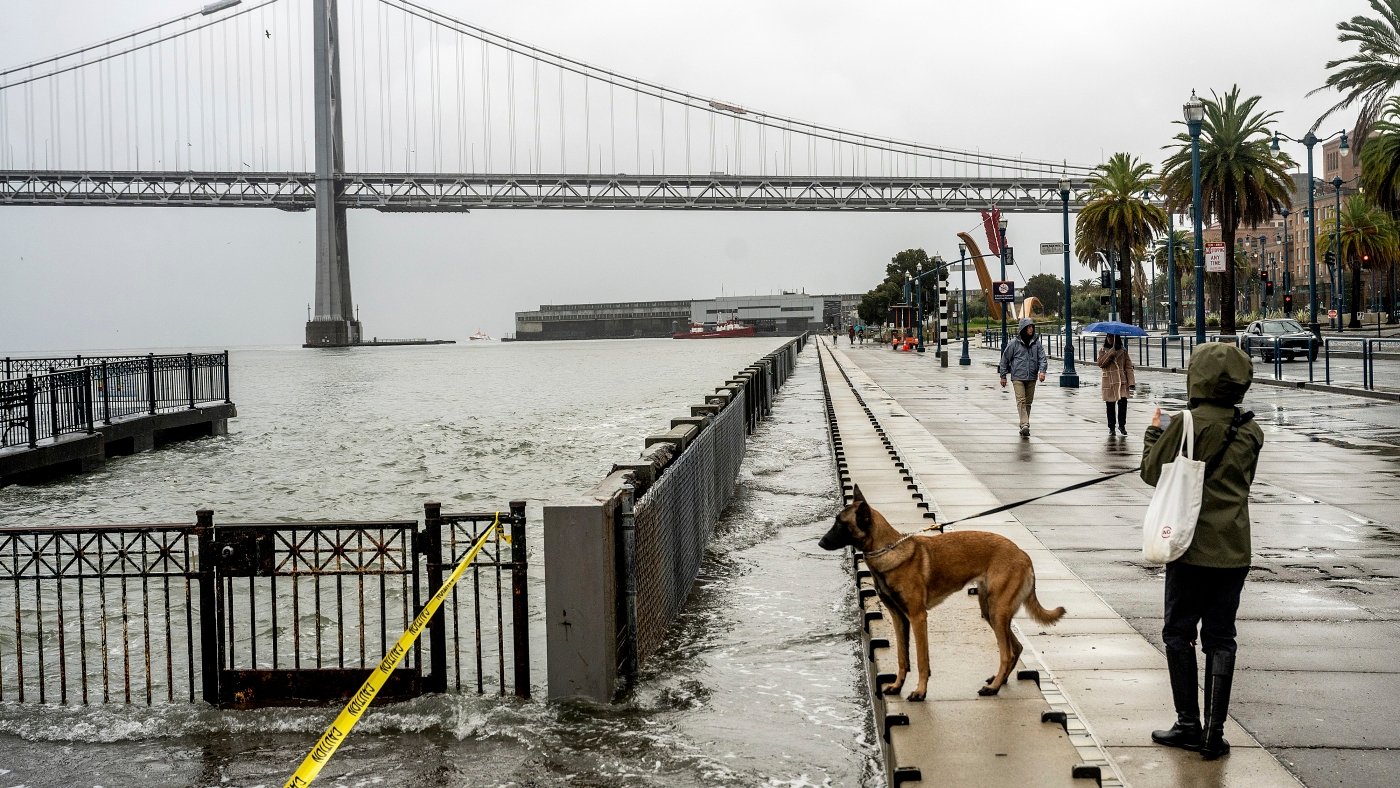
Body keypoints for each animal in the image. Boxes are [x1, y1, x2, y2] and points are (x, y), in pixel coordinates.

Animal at [817, 487, 1058, 702]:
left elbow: (921, 660)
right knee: (1015, 647)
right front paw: (897, 686)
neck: (888, 550)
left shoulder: (917, 617)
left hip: (997, 612)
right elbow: (902, 658)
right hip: (990, 611)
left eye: (840, 523)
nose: (820, 542)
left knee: (1006, 653)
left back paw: (994, 688)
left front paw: (920, 692)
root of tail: (1023, 554)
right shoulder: (898, 618)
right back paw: (998, 681)